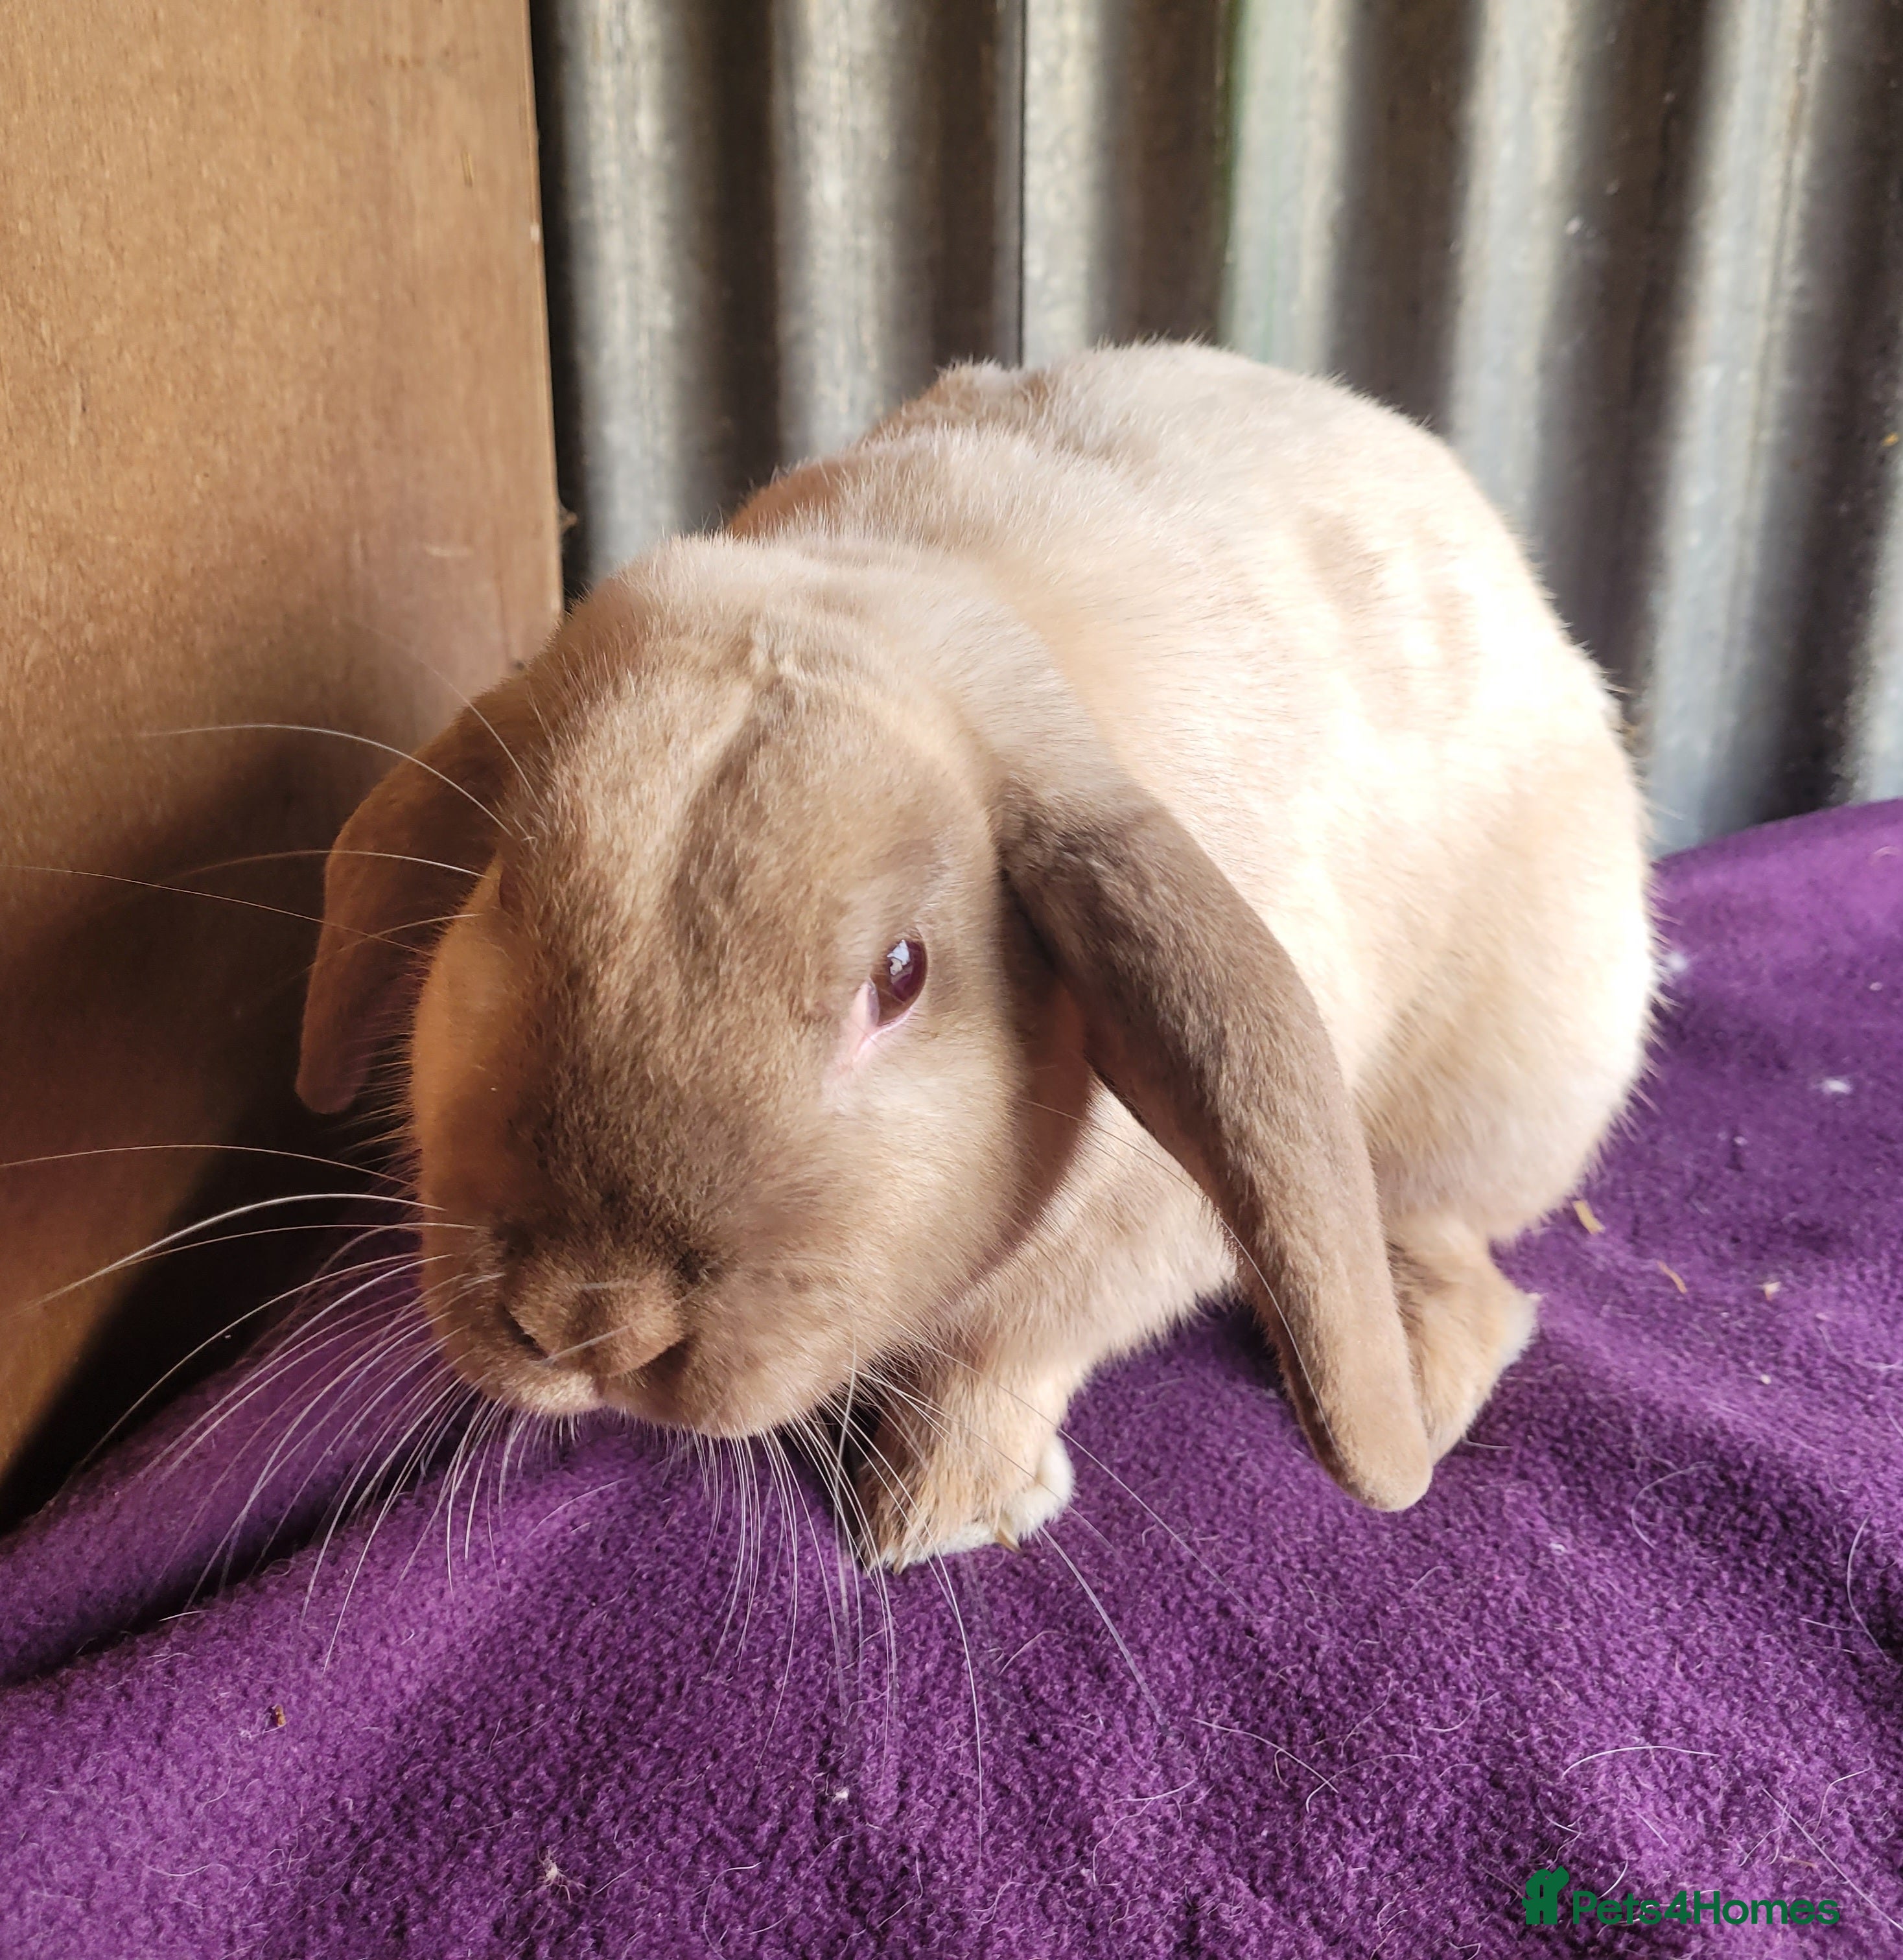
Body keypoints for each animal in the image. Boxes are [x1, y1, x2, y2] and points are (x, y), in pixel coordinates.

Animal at [298, 344, 1652, 1569]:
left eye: (900, 975)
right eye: (501, 889)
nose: (591, 1322)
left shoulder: (1120, 1253)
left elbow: (1004, 1358)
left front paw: (935, 1514)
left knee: (1457, 1248)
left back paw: (1419, 1372)